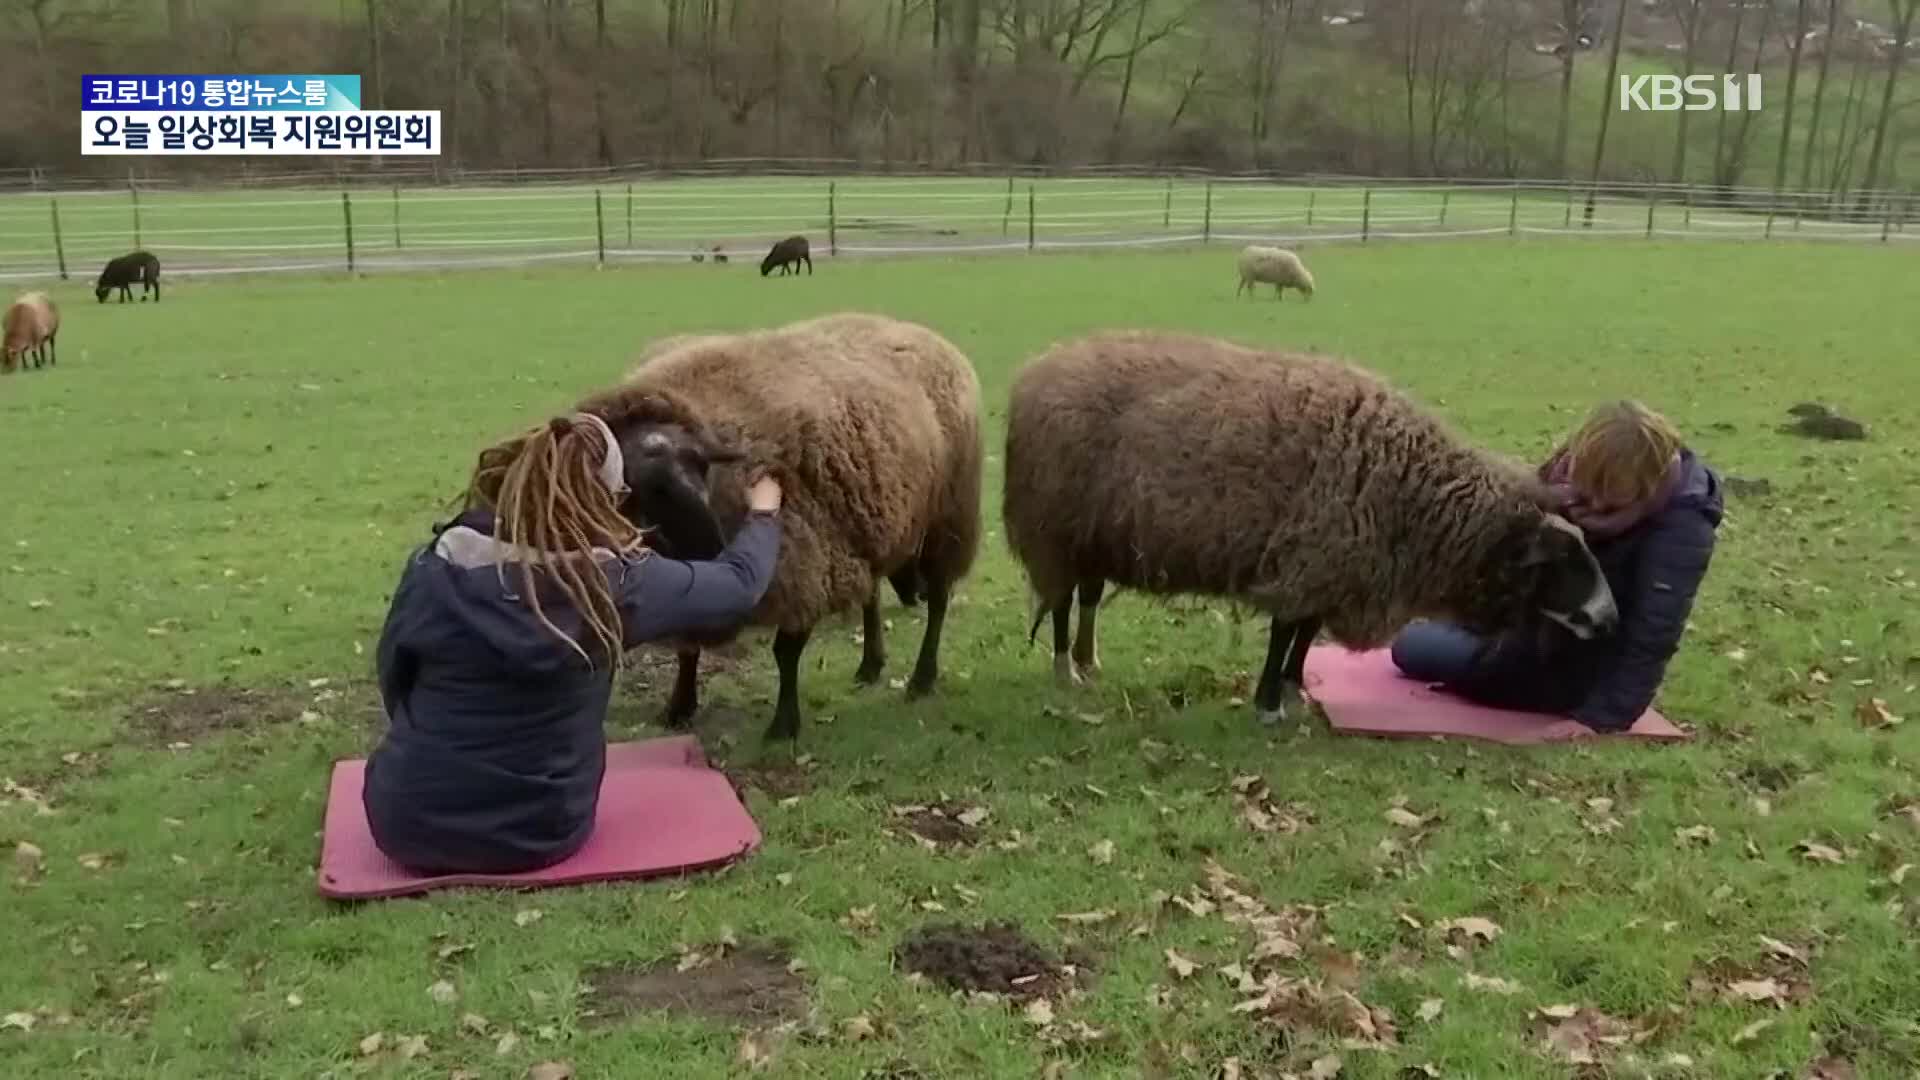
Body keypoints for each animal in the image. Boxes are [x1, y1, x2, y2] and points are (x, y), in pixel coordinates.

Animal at [572, 307, 983, 734]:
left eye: (702, 470)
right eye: (634, 490)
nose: (714, 549)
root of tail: (924, 334)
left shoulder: (806, 562)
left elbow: (785, 652)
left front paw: (784, 724)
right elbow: (688, 649)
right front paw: (680, 706)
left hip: (948, 516)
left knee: (939, 601)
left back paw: (922, 677)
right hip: (869, 525)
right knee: (871, 593)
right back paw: (871, 664)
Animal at [1006, 328, 1620, 722]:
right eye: (1565, 562)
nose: (1610, 619)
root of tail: (1037, 370)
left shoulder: (1337, 566)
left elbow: (1303, 635)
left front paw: (1295, 689)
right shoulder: (1310, 555)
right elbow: (1286, 630)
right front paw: (1268, 704)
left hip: (1095, 534)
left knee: (1086, 597)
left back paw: (1087, 661)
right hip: (1056, 528)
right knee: (1061, 603)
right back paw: (1064, 671)